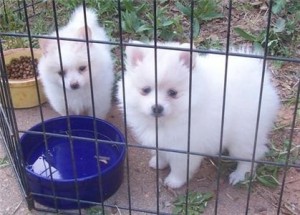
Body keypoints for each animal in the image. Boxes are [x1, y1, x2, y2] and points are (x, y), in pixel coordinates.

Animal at [116, 40, 278, 188]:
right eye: (145, 90)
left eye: (173, 93)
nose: (157, 107)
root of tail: (255, 73)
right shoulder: (162, 142)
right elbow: (162, 154)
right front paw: (158, 162)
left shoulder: (184, 148)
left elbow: (180, 168)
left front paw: (174, 181)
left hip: (244, 135)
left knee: (250, 155)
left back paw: (239, 175)